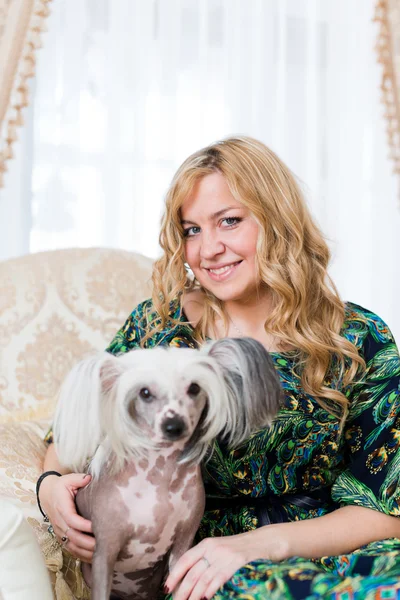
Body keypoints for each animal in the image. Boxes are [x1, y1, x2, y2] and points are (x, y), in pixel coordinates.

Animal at [53, 338, 282, 600]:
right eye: (144, 392)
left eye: (194, 388)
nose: (174, 425)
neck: (161, 476)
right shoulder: (104, 551)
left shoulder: (183, 546)